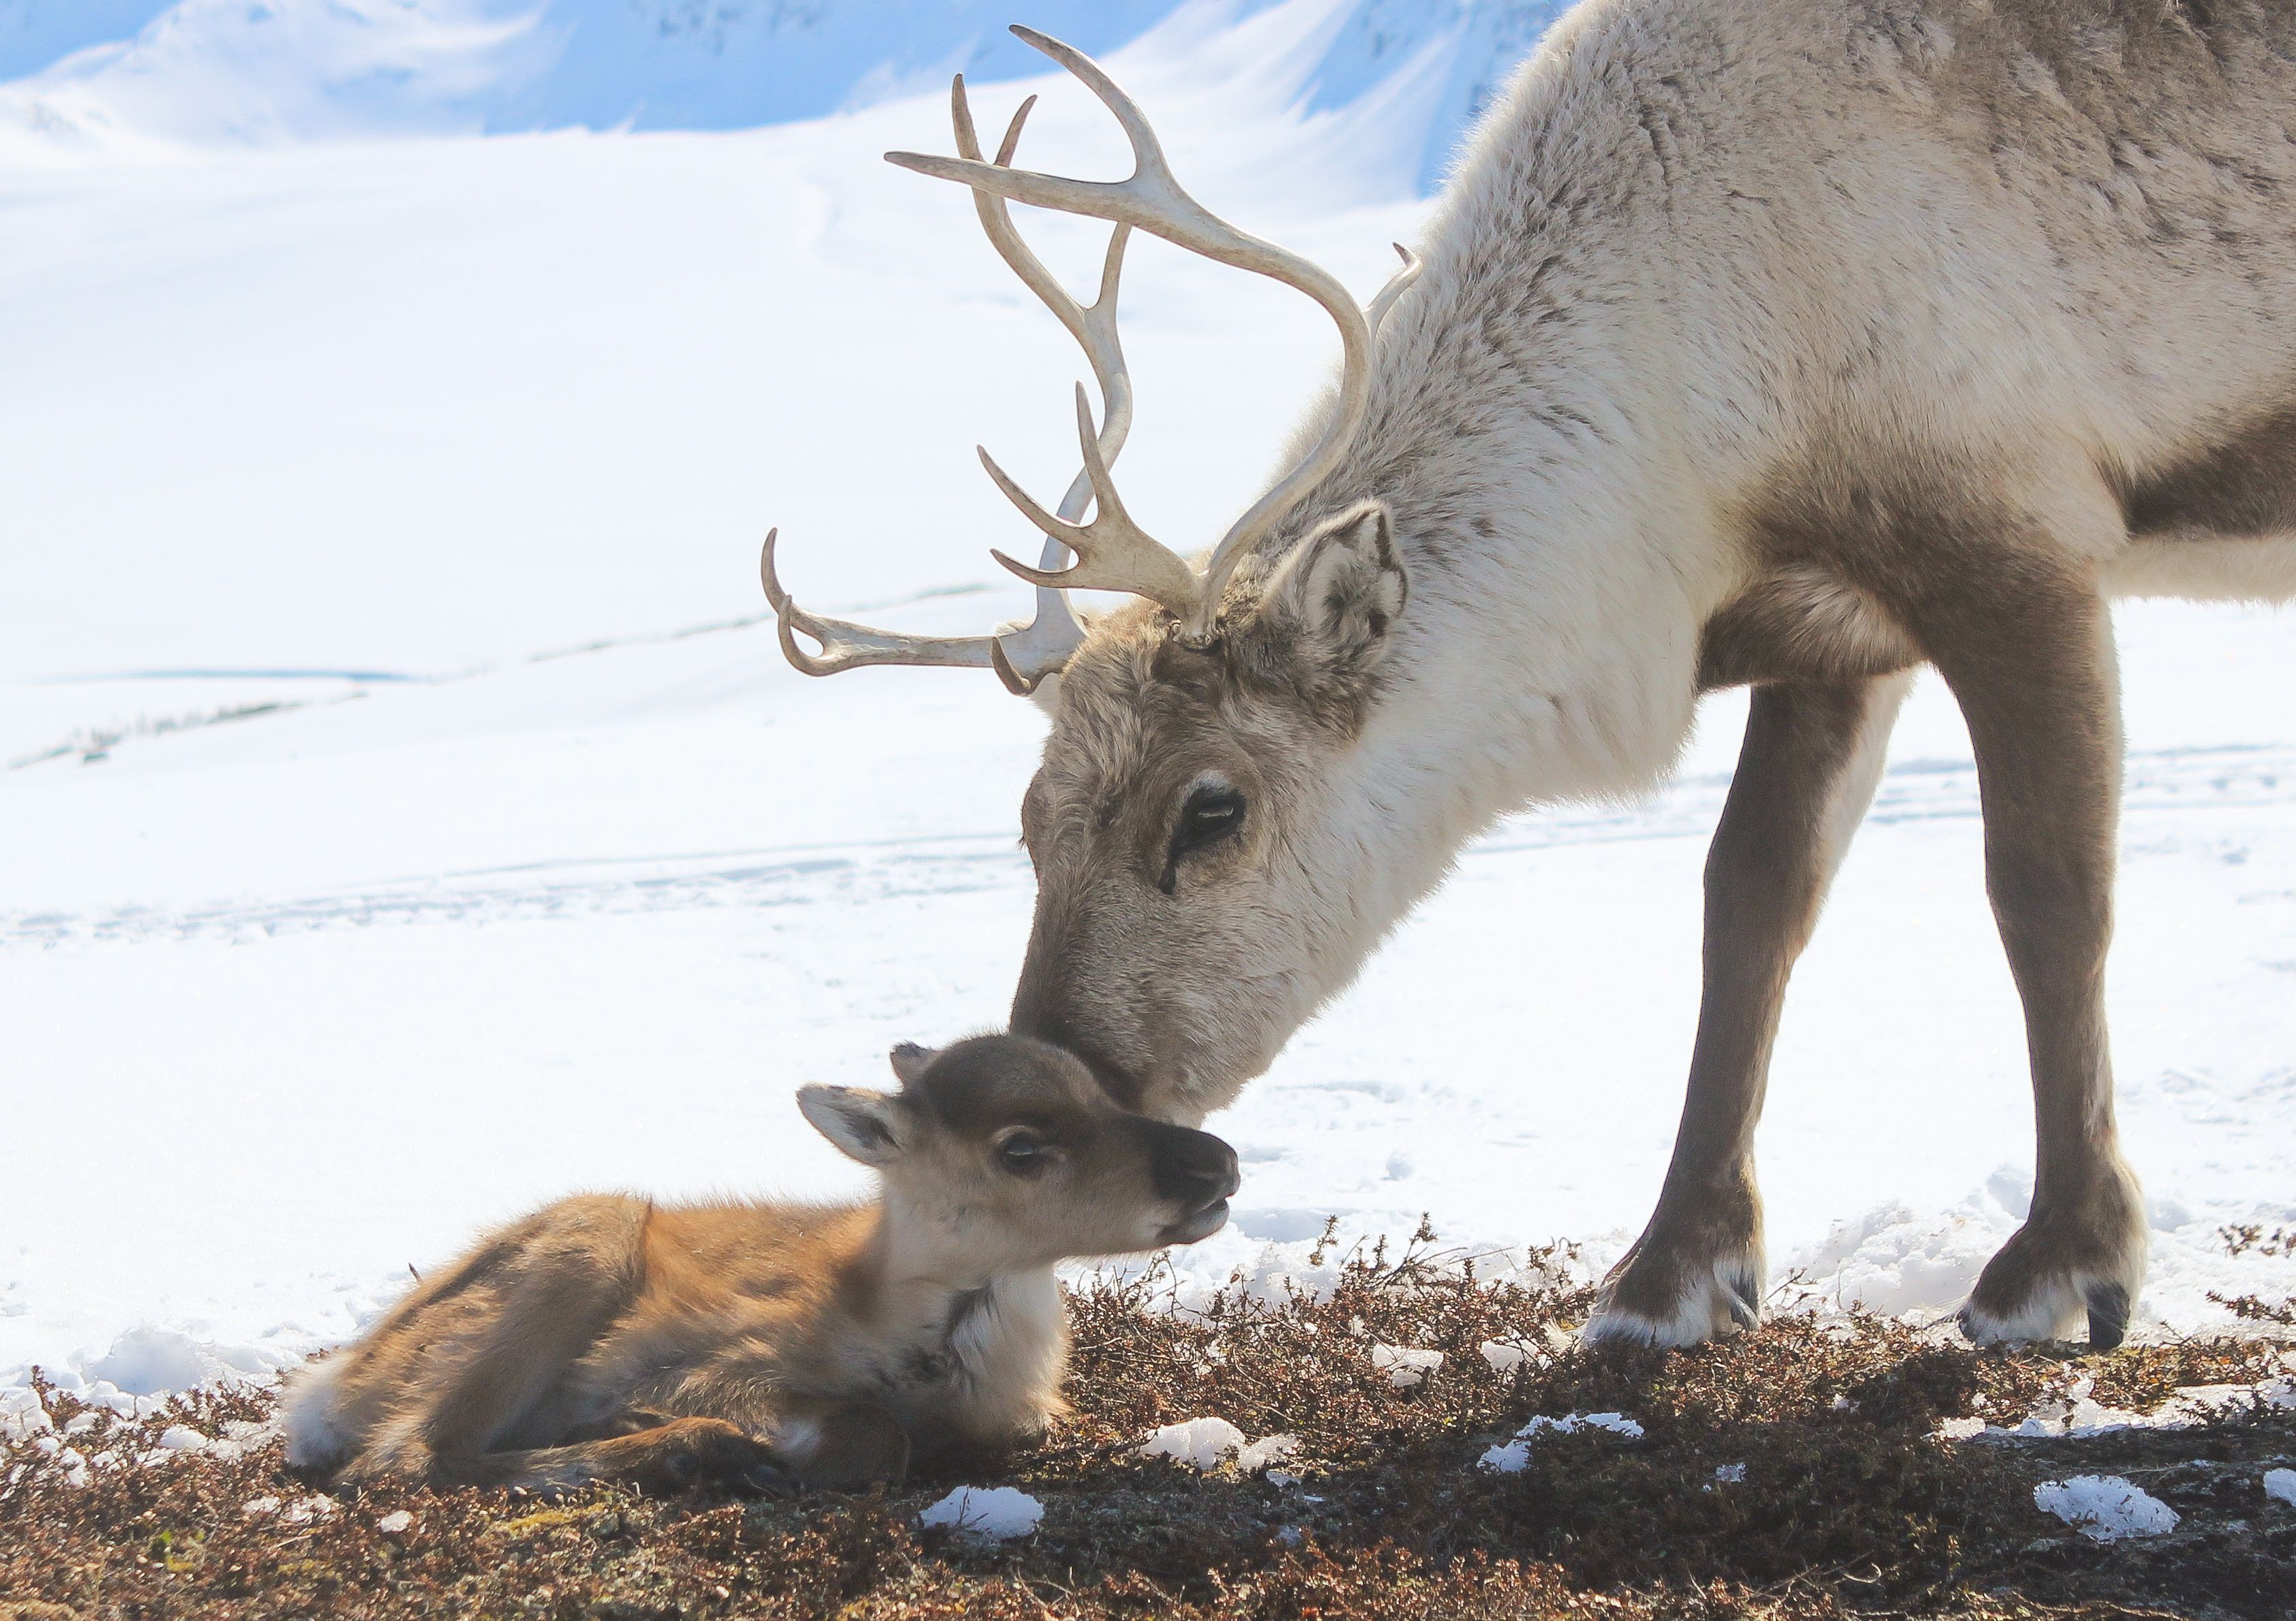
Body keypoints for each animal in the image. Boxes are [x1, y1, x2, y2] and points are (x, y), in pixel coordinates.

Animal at [279, 1034, 1240, 1493]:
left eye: (1098, 1088)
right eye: (1021, 1145)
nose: (1219, 1163)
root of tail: (331, 1382)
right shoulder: (711, 1365)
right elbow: (872, 1430)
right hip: (585, 1241)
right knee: (403, 1456)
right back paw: (678, 1450)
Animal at [761, 3, 2296, 1353]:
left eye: (1211, 809)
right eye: (1029, 820)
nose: (1032, 1083)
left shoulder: (2013, 538)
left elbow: (2048, 897)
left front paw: (2062, 1264)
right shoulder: (1833, 620)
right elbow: (1749, 906)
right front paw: (1671, 1272)